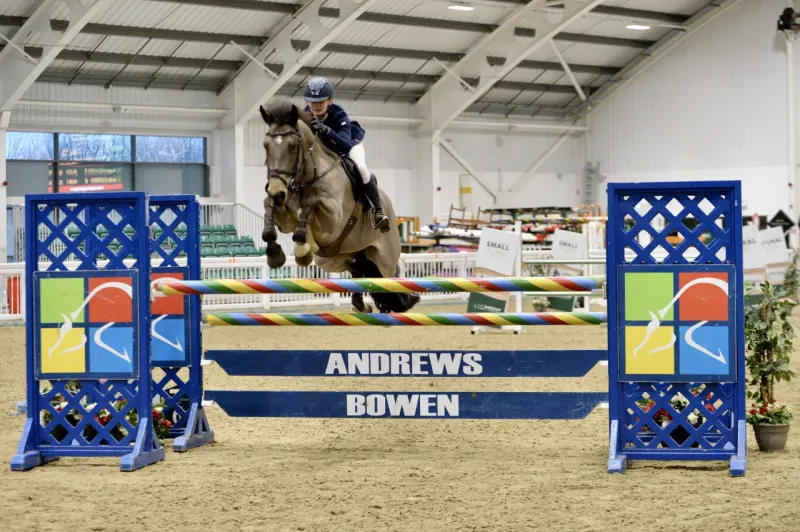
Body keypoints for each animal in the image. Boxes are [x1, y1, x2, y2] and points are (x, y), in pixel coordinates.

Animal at [260, 98, 422, 314]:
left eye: (293, 146)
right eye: (265, 146)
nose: (276, 192)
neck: (309, 175)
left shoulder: (332, 219)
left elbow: (311, 204)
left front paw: (302, 247)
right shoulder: (286, 217)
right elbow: (269, 210)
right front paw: (275, 253)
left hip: (386, 259)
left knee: (390, 279)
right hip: (332, 258)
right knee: (357, 267)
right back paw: (360, 304)